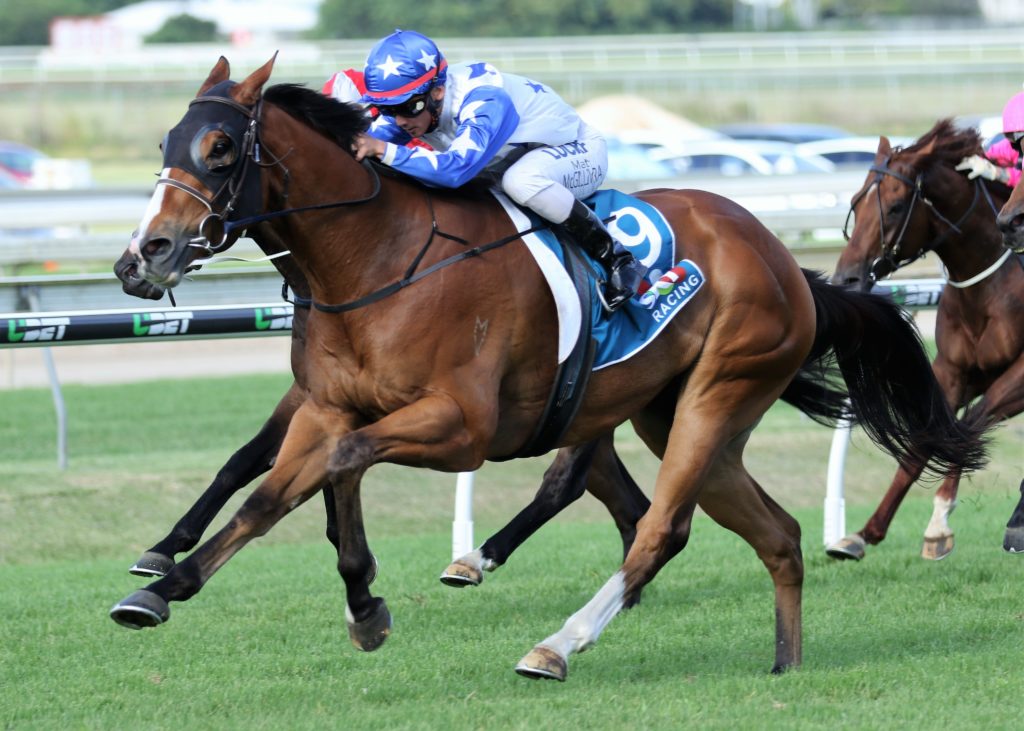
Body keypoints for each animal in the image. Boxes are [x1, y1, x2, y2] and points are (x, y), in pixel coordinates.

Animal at [109, 56, 988, 682]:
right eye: (163, 147)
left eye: (221, 149)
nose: (142, 255)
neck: (377, 258)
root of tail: (783, 259)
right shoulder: (327, 405)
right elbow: (273, 491)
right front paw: (163, 586)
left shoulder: (459, 426)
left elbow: (338, 465)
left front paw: (360, 597)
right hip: (668, 410)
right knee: (775, 532)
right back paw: (786, 661)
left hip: (719, 388)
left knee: (660, 527)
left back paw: (557, 644)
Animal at [831, 119, 1024, 561]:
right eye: (856, 202)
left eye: (896, 206)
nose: (846, 279)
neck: (987, 287)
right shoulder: (953, 371)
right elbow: (930, 437)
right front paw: (862, 534)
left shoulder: (1020, 375)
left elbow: (971, 422)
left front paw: (939, 523)